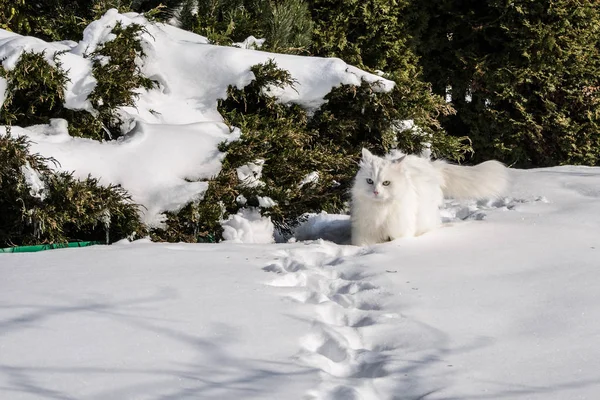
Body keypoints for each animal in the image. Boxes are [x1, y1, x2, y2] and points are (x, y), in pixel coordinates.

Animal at [352, 148, 510, 245]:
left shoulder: (400, 232)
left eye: (386, 183)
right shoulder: (365, 235)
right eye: (369, 181)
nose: (376, 192)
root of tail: (431, 166)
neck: (380, 210)